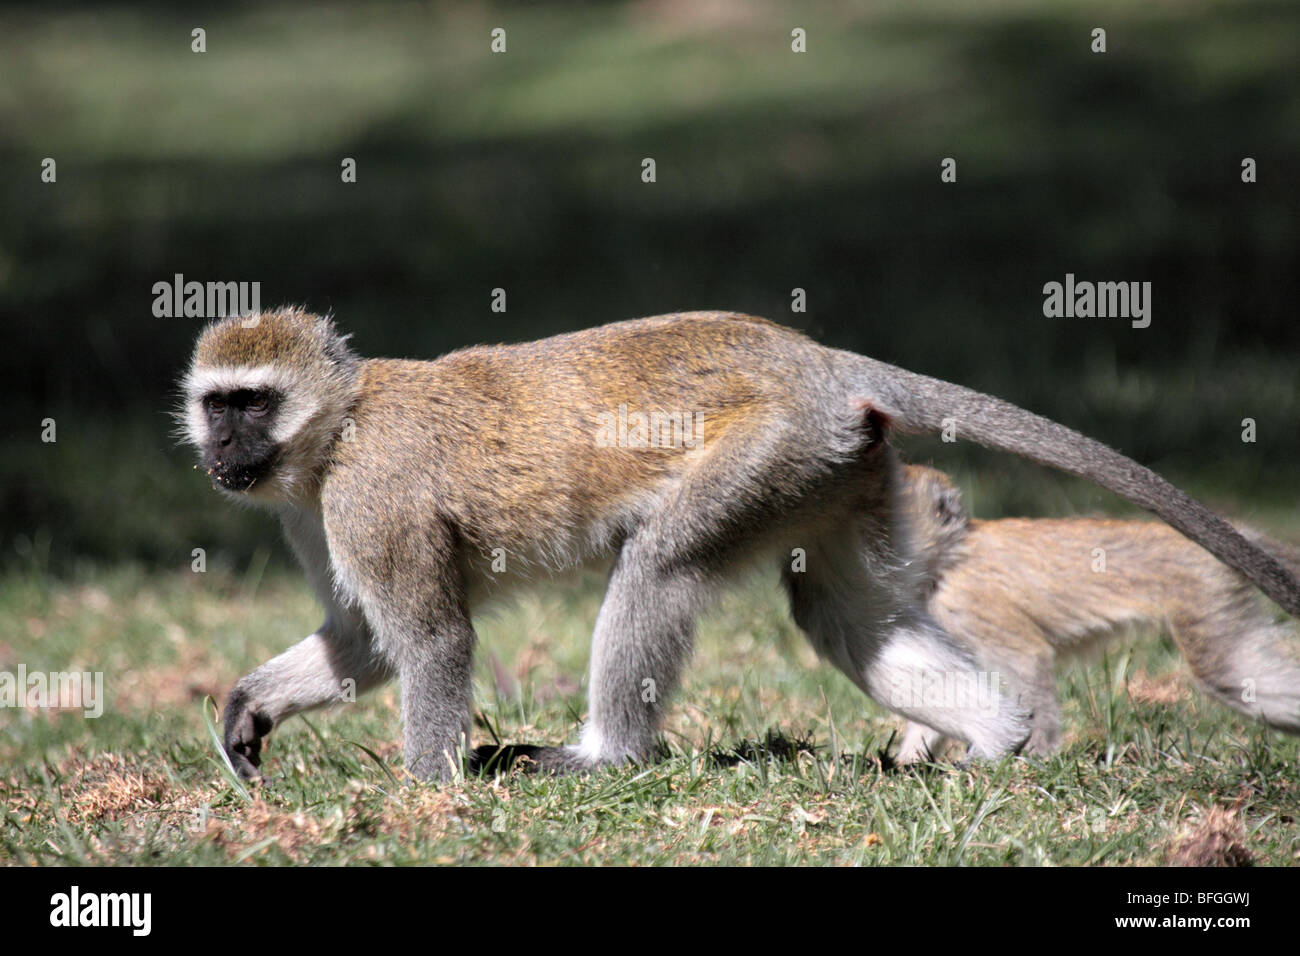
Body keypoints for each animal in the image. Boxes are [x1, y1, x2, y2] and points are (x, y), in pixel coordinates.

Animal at [894, 465, 1300, 764]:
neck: (946, 558)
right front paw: (909, 761)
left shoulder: (969, 603)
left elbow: (1025, 661)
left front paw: (1034, 753)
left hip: (1203, 589)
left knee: (1227, 673)